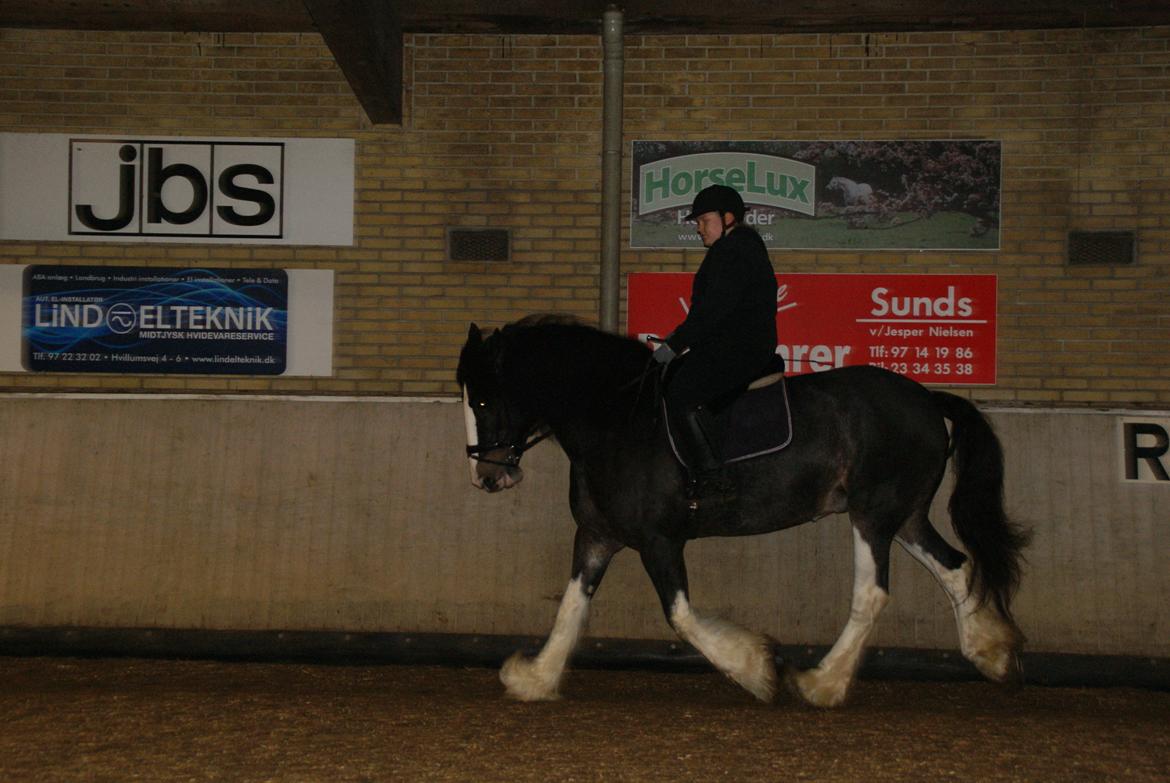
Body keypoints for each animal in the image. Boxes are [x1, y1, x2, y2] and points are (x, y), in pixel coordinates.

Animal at [456, 313, 1024, 706]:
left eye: (482, 401)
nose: (485, 477)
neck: (614, 418)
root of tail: (927, 399)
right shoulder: (597, 536)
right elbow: (571, 607)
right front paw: (535, 678)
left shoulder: (659, 540)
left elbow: (681, 616)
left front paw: (755, 667)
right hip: (905, 517)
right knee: (956, 568)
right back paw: (993, 654)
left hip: (873, 516)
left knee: (872, 594)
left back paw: (821, 684)